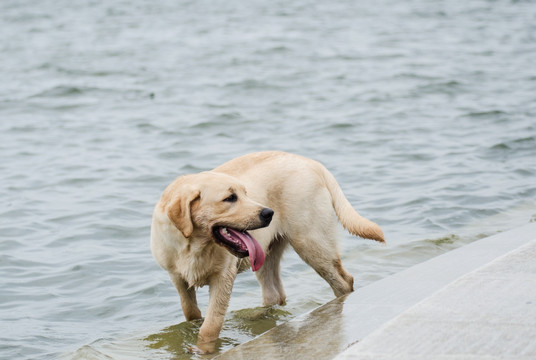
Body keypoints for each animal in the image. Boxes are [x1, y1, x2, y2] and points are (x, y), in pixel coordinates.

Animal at [151, 150, 386, 352]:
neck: (195, 245)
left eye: (245, 193)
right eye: (230, 198)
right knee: (275, 294)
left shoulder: (222, 278)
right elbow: (191, 312)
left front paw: (204, 349)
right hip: (267, 257)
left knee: (344, 280)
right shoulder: (177, 279)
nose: (268, 213)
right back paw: (258, 315)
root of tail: (309, 162)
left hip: (311, 243)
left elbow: (210, 325)